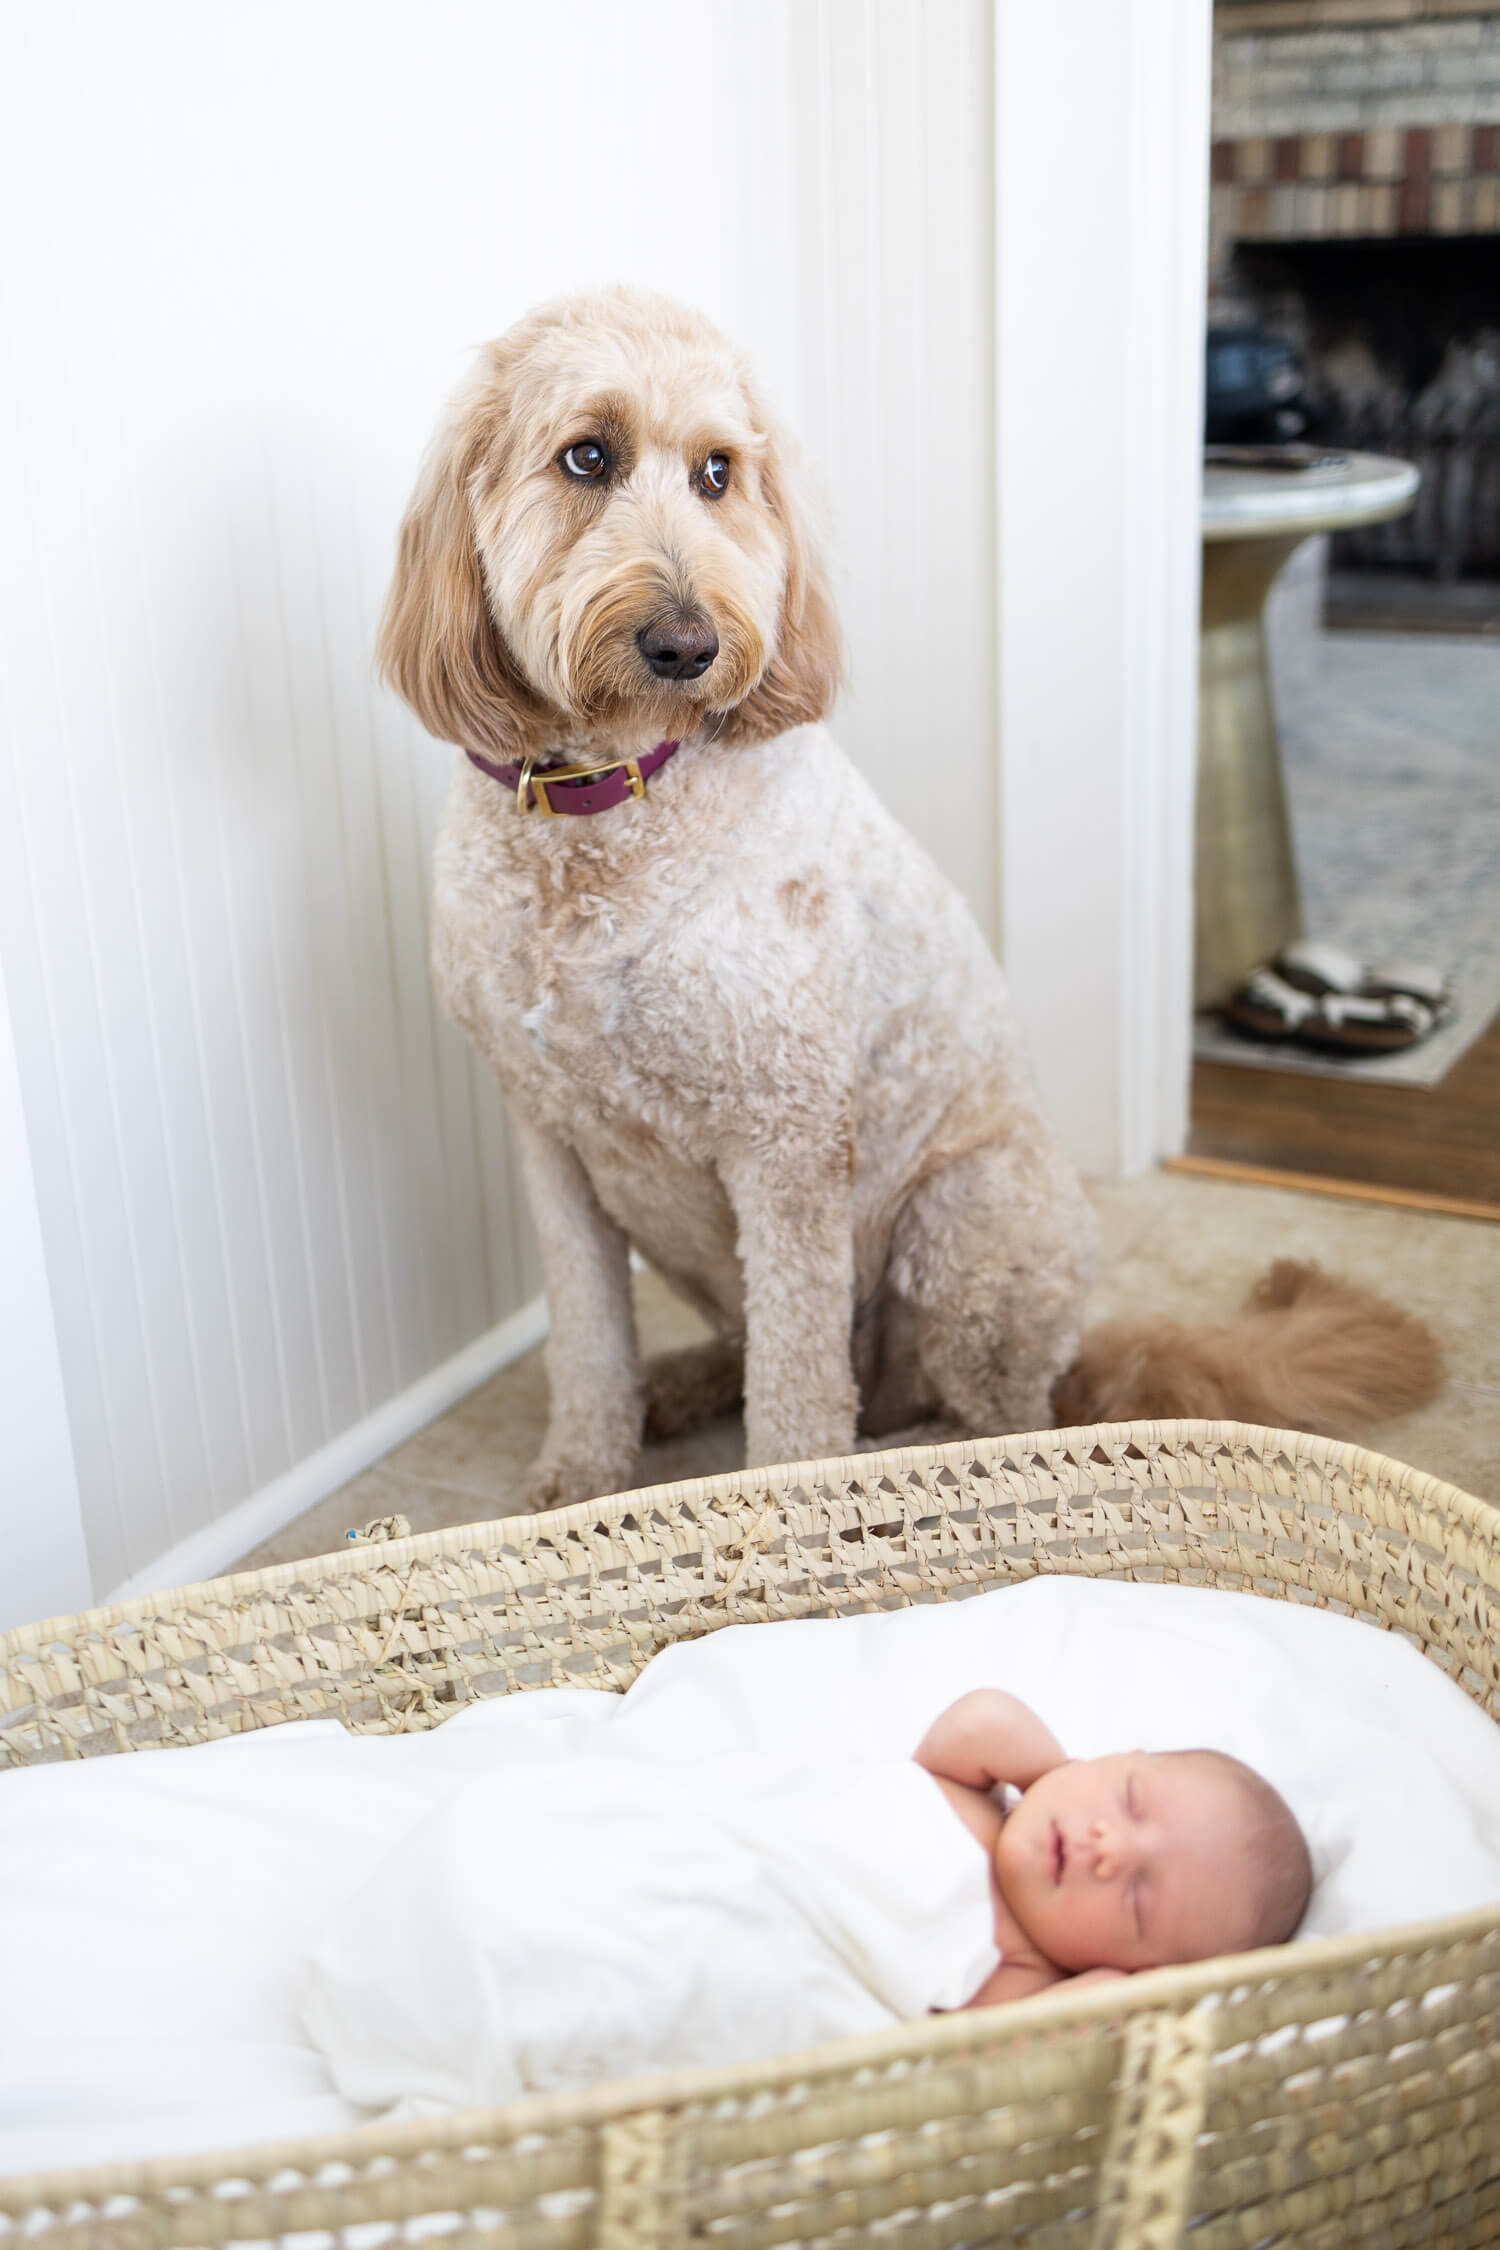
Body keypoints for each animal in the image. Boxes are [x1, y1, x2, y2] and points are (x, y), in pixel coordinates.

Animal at [382, 285, 1439, 1512]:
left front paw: (781, 1511)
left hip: (967, 1223)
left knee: (999, 1423)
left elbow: (799, 1395)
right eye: (586, 457)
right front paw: (586, 1479)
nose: (690, 645)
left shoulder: (786, 1143)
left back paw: (905, 1479)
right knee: (774, 1361)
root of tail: (1084, 1358)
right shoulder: (553, 1143)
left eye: (718, 473)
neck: (611, 802)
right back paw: (683, 1388)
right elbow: (589, 1339)